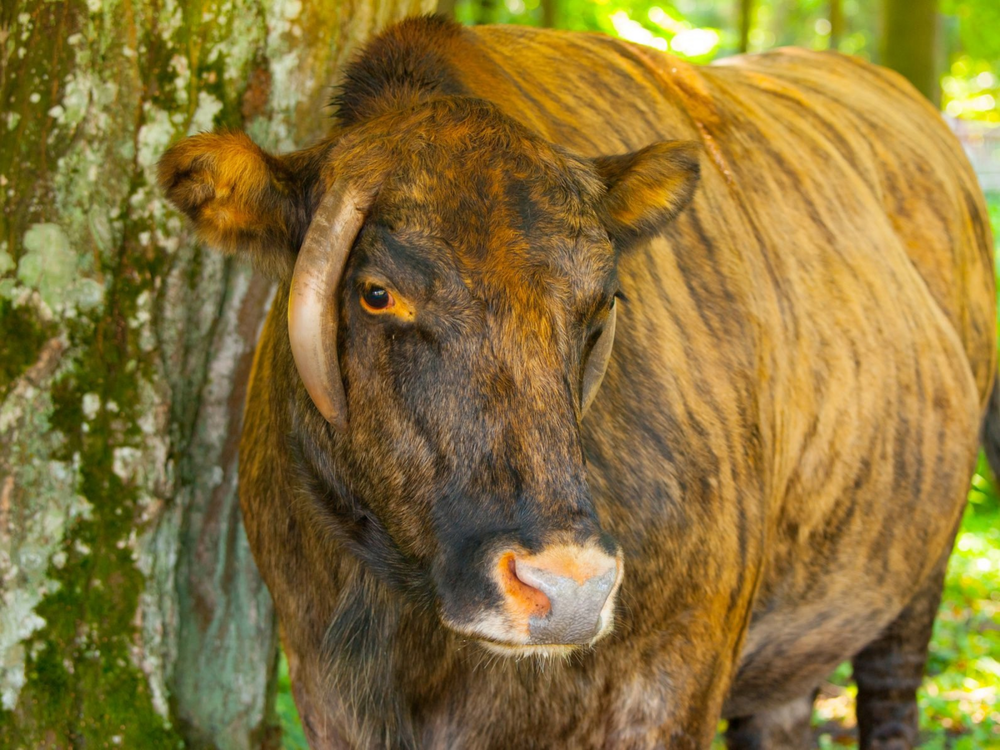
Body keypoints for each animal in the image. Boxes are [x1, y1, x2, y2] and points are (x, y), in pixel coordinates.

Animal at [160, 14, 996, 748]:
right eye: (376, 291)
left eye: (603, 300)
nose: (567, 587)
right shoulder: (326, 687)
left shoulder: (670, 685)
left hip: (917, 577)